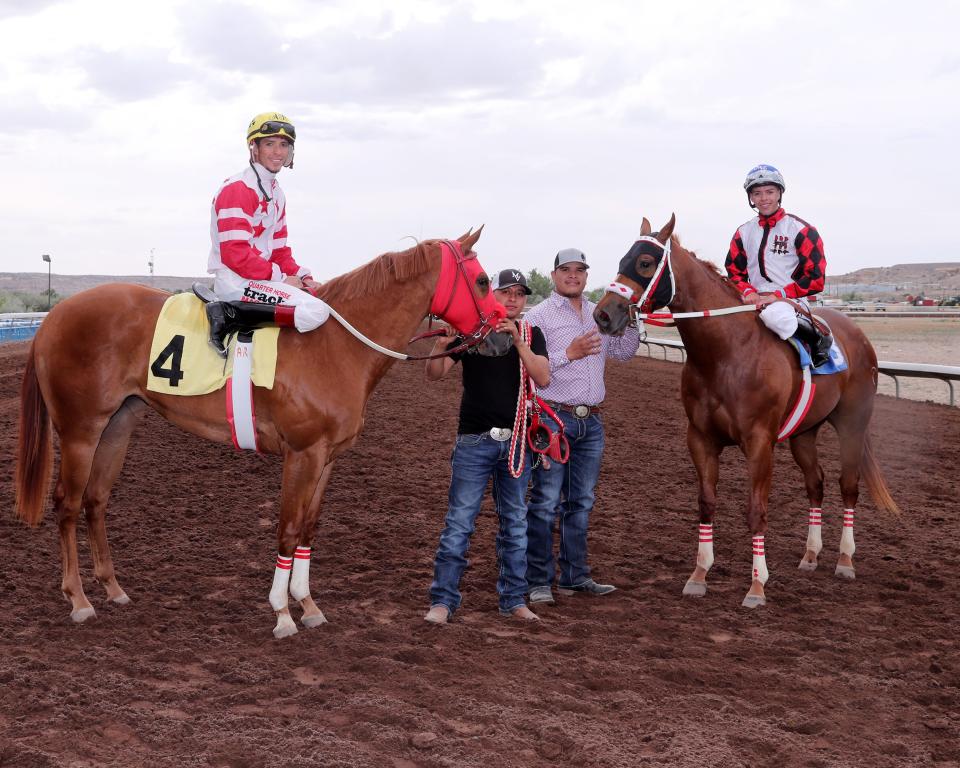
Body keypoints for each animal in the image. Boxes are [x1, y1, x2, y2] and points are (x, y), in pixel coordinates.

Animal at [15, 228, 506, 636]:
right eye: (482, 281)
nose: (503, 334)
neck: (335, 346)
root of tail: (54, 317)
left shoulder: (328, 457)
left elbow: (308, 528)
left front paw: (308, 606)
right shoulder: (302, 454)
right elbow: (287, 528)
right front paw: (283, 613)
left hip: (119, 423)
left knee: (96, 501)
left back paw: (112, 588)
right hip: (80, 430)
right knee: (67, 503)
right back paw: (79, 599)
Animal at [596, 214, 896, 608]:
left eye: (645, 263)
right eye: (621, 260)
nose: (602, 315)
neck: (725, 354)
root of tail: (857, 335)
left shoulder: (759, 443)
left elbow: (756, 511)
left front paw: (756, 586)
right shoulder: (701, 439)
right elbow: (706, 503)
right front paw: (699, 575)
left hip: (852, 425)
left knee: (848, 486)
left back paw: (845, 560)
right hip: (804, 433)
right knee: (816, 484)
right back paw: (810, 555)